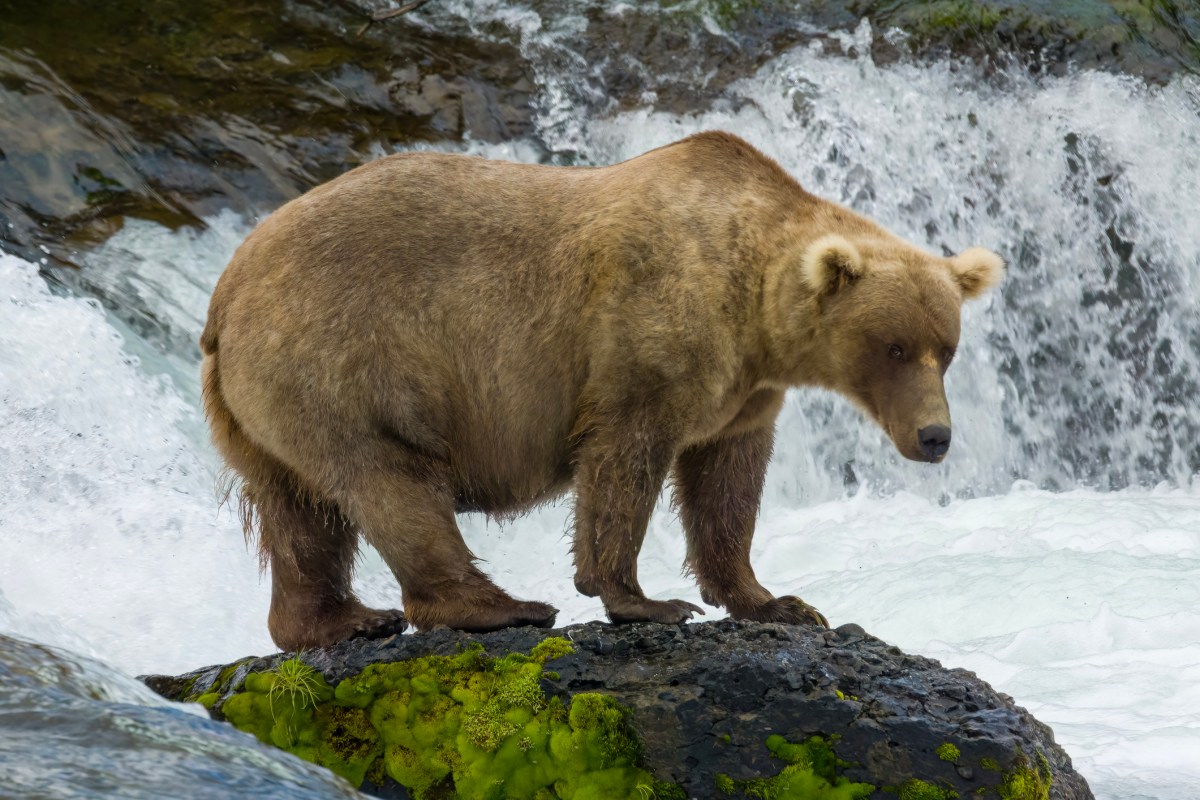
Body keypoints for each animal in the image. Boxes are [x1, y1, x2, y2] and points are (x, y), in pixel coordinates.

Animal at [199, 131, 1003, 652]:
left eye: (945, 350)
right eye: (892, 347)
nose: (935, 436)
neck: (754, 310)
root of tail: (226, 290)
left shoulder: (745, 394)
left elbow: (727, 487)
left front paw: (775, 601)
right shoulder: (647, 333)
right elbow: (625, 463)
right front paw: (644, 601)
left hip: (264, 404)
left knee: (300, 512)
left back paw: (336, 621)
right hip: (346, 356)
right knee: (393, 483)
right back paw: (499, 606)